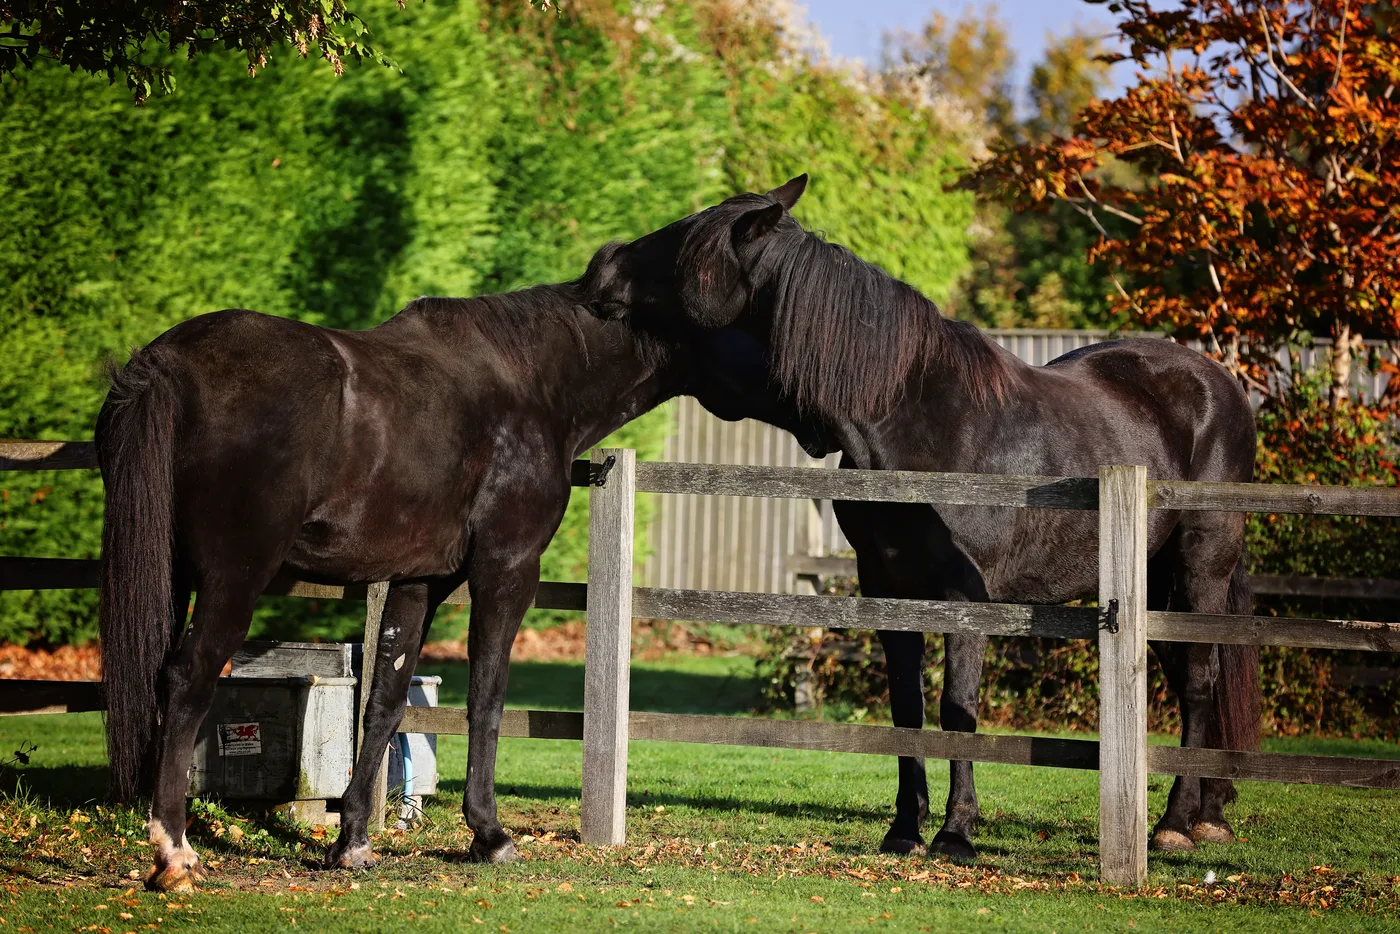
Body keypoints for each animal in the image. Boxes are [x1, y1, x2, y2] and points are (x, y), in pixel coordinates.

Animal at [94, 241, 793, 891]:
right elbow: (486, 697)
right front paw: (489, 834)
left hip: (173, 575)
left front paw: (352, 842)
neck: (535, 381)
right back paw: (175, 852)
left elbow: (385, 701)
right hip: (231, 579)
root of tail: (164, 363)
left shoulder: (417, 581)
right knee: (187, 679)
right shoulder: (507, 571)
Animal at [583, 175, 1262, 860]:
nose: (598, 266)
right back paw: (1210, 812)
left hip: (1200, 564)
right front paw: (905, 828)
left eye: (684, 241)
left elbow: (956, 709)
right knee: (1187, 677)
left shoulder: (967, 600)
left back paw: (1176, 822)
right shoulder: (888, 594)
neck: (924, 423)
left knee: (1199, 679)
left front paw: (956, 831)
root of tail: (1217, 380)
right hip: (1153, 575)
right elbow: (905, 707)